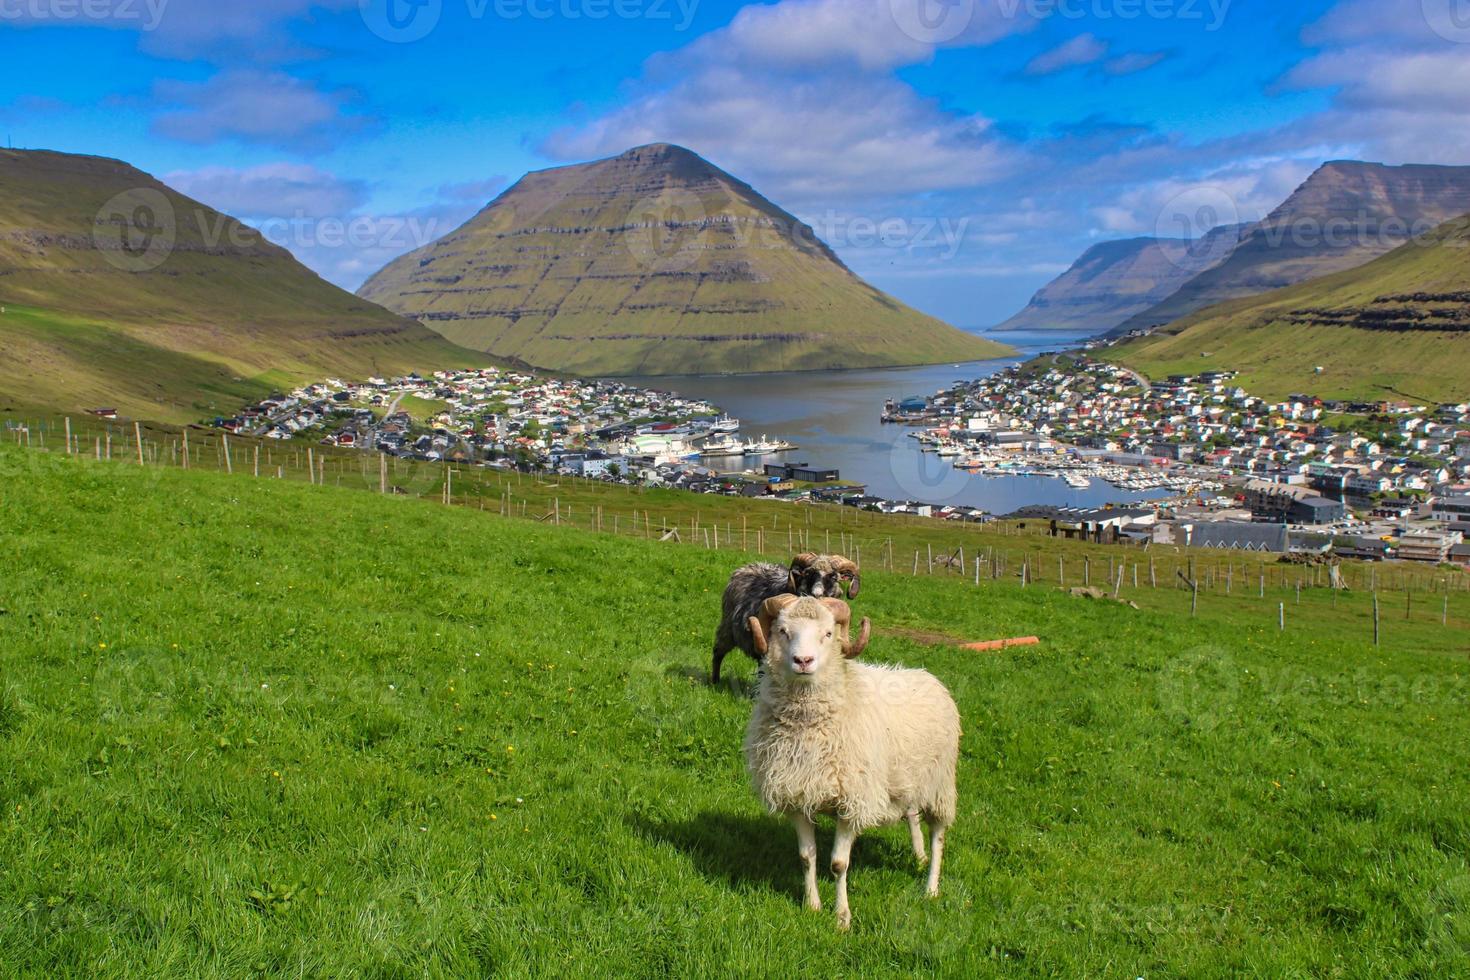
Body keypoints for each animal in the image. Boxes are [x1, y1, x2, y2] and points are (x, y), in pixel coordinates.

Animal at [740, 593, 958, 934]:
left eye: (828, 633)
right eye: (783, 631)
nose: (803, 661)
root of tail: (927, 676)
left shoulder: (851, 803)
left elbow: (838, 864)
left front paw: (842, 917)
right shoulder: (797, 797)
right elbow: (806, 857)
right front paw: (812, 906)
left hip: (940, 784)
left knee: (939, 835)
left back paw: (931, 886)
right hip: (905, 781)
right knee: (912, 815)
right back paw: (919, 856)